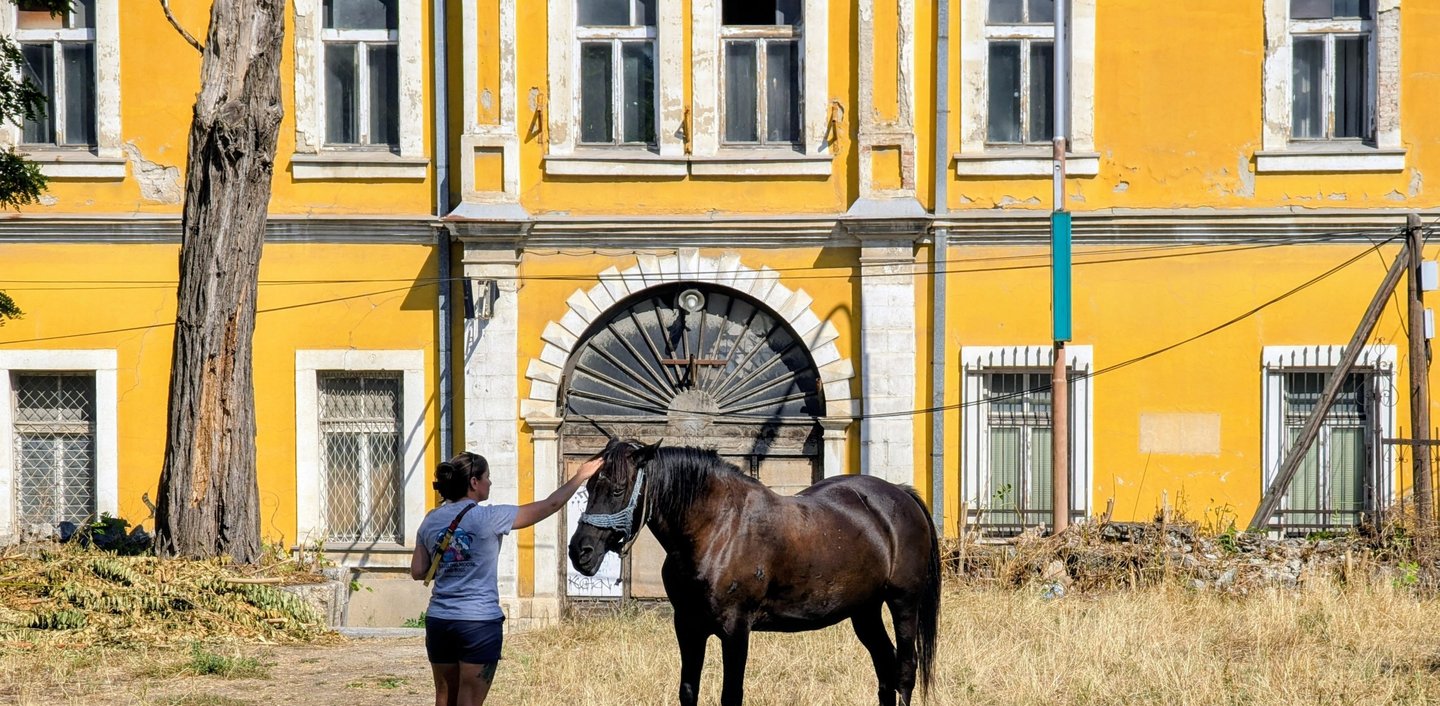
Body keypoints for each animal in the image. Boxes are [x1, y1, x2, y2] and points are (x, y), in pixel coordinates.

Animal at [568, 439, 940, 706]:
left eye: (617, 489)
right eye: (588, 487)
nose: (579, 551)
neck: (717, 529)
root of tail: (900, 494)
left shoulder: (735, 630)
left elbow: (731, 695)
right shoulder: (687, 626)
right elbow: (689, 690)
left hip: (903, 603)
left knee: (904, 670)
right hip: (865, 611)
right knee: (886, 670)